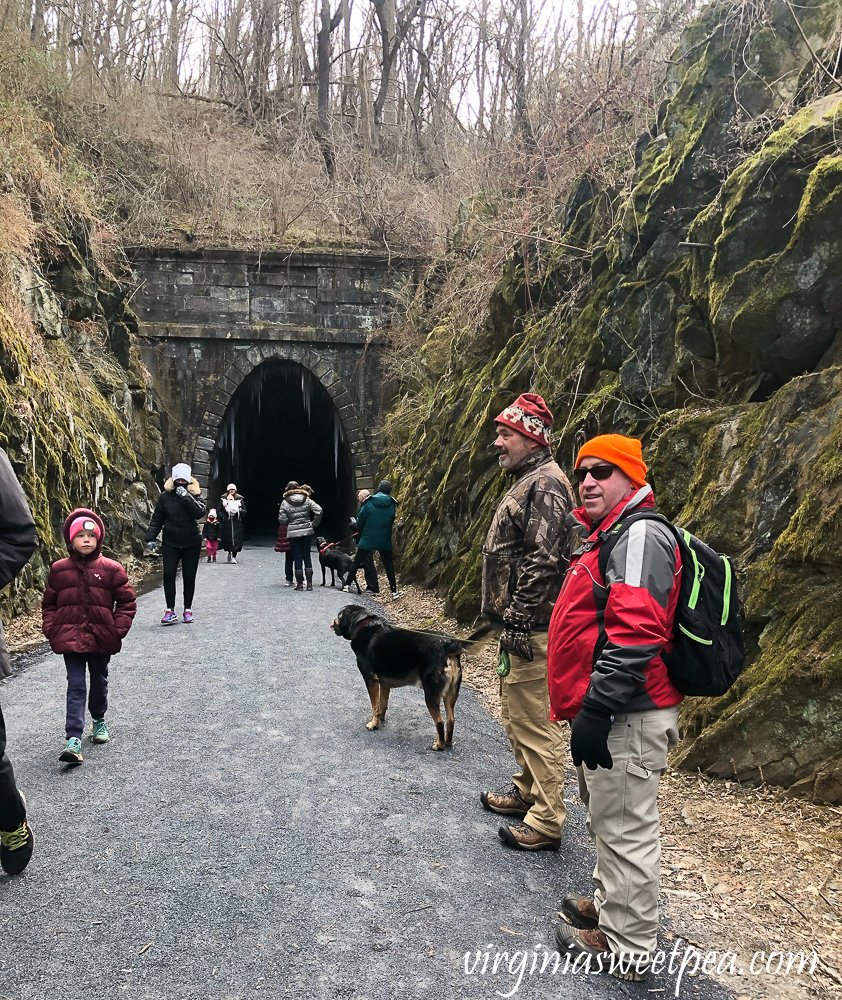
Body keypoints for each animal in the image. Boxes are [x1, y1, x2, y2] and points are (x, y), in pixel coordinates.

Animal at [328, 600, 462, 752]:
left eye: (338, 616)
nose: (333, 621)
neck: (361, 625)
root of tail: (448, 645)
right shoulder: (384, 683)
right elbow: (381, 704)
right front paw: (380, 720)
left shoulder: (371, 680)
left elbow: (374, 705)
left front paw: (373, 724)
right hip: (450, 694)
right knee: (451, 719)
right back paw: (448, 742)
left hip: (431, 694)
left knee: (440, 721)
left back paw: (439, 745)